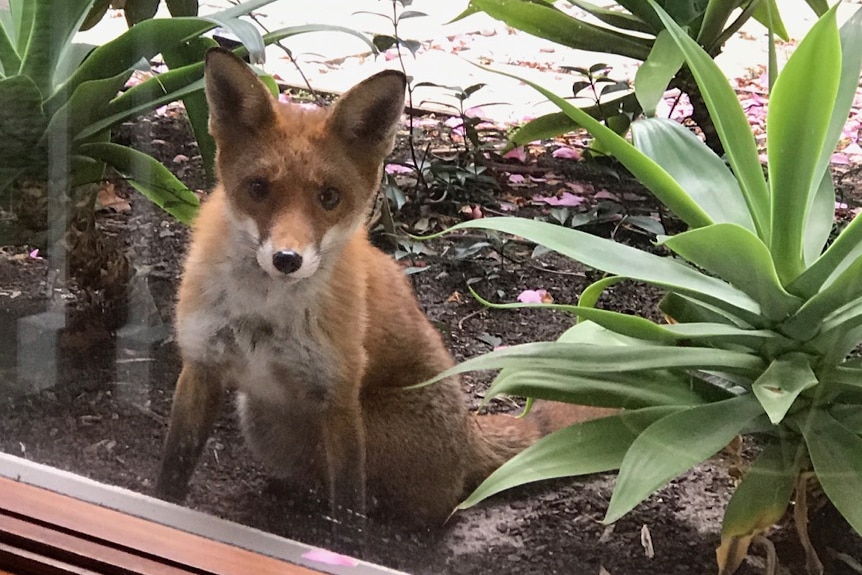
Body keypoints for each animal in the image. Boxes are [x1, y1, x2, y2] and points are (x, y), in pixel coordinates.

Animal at [157, 47, 616, 524]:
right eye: (259, 188)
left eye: (329, 197)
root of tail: (470, 432)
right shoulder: (201, 365)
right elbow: (172, 469)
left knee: (421, 506)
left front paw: (345, 537)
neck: (262, 312)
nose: (287, 260)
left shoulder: (339, 395)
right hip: (263, 415)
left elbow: (348, 508)